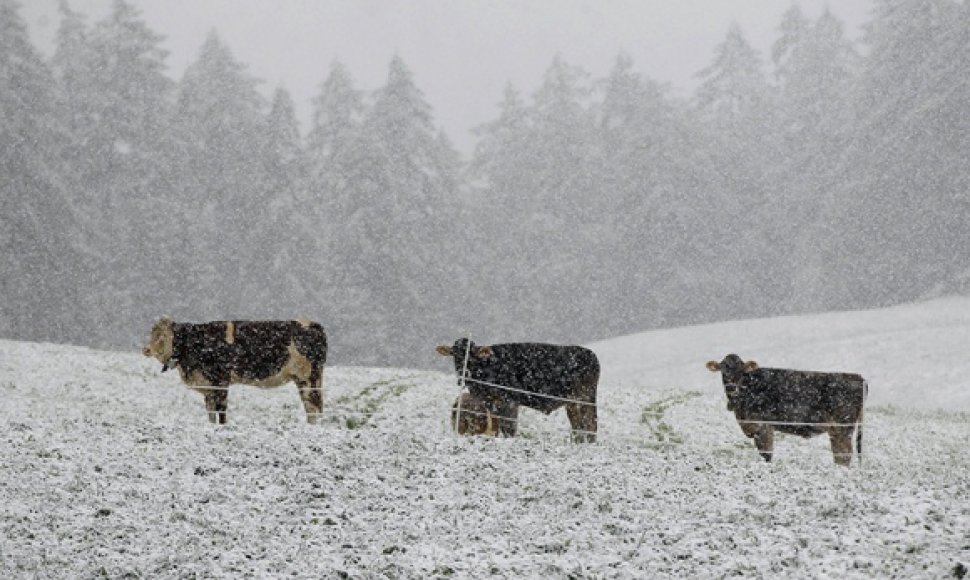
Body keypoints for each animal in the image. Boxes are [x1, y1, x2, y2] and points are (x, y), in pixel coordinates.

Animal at [142, 314, 328, 424]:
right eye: (152, 334)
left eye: (163, 336)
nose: (146, 349)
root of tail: (315, 325)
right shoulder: (208, 386)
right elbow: (210, 412)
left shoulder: (221, 381)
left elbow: (221, 409)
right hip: (303, 380)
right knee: (310, 407)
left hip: (310, 377)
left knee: (315, 406)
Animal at [432, 338, 596, 442]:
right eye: (454, 354)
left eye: (472, 354)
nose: (462, 373)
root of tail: (590, 353)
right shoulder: (491, 403)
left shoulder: (509, 402)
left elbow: (508, 428)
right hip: (574, 403)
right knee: (579, 426)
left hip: (581, 399)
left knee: (589, 424)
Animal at [700, 354, 864, 466]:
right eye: (723, 371)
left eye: (741, 371)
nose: (731, 387)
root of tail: (858, 377)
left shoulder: (763, 426)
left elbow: (766, 454)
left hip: (842, 427)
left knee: (844, 454)